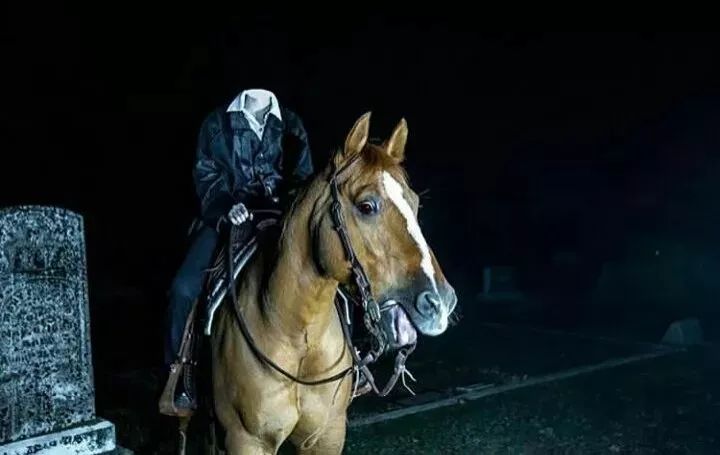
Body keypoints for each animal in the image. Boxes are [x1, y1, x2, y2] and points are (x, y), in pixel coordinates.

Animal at [208, 112, 458, 454]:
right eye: (366, 206)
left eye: (415, 203)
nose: (441, 302)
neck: (296, 335)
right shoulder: (245, 440)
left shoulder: (326, 436)